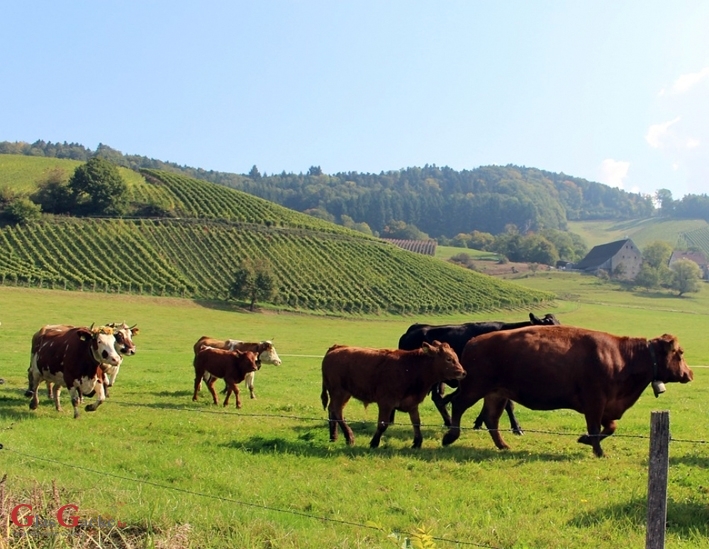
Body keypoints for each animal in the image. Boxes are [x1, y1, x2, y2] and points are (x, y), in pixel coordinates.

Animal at [320, 340, 464, 448]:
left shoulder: (412, 404)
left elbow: (416, 422)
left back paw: (334, 436)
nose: (463, 373)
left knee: (333, 410)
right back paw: (349, 436)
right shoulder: (386, 403)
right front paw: (374, 443)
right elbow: (383, 424)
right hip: (339, 392)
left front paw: (417, 442)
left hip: (343, 393)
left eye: (456, 358)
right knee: (336, 411)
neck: (411, 367)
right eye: (449, 359)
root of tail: (336, 348)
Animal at [398, 310, 560, 430]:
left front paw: (479, 422)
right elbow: (508, 405)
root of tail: (413, 328)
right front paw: (516, 427)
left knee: (438, 398)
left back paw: (449, 422)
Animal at [442, 324, 692, 456]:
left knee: (491, 419)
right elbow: (596, 428)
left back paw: (503, 446)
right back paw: (449, 437)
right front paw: (598, 451)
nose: (690, 373)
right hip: (475, 388)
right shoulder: (595, 403)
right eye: (679, 353)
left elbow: (610, 427)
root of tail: (474, 341)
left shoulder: (605, 407)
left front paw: (585, 441)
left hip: (497, 393)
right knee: (458, 404)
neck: (623, 356)